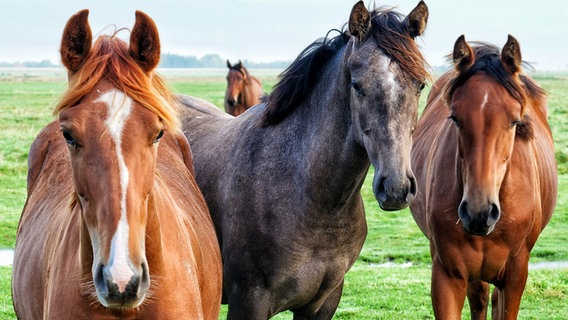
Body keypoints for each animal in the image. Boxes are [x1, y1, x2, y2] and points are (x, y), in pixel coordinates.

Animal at [410, 33, 556, 318]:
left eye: (514, 121)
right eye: (455, 118)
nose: (478, 213)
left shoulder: (515, 275)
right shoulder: (447, 274)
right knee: (479, 299)